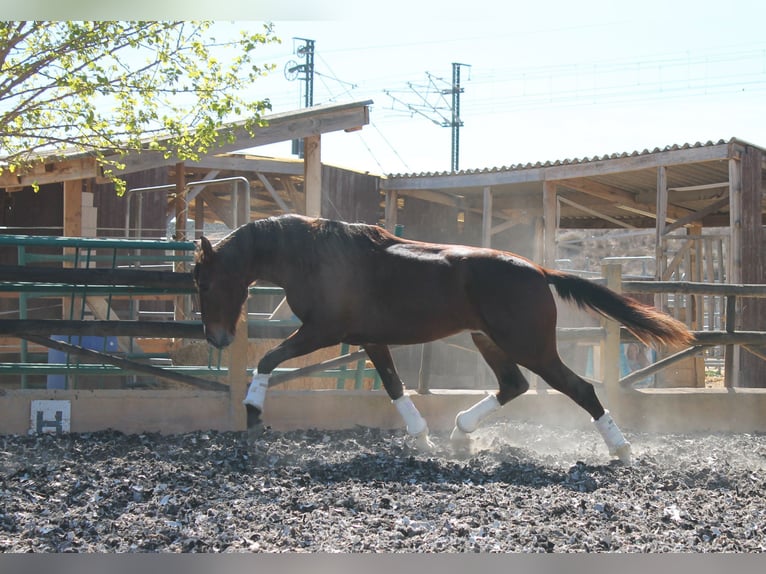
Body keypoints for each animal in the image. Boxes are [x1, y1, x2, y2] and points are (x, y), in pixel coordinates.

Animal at [193, 214, 694, 464]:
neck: (316, 256)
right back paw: (459, 433)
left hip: (529, 345)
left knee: (580, 389)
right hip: (488, 341)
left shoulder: (323, 330)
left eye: (204, 280)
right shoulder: (369, 340)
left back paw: (622, 450)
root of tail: (539, 270)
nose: (215, 338)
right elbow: (395, 387)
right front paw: (422, 441)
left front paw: (253, 411)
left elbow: (268, 360)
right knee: (514, 385)